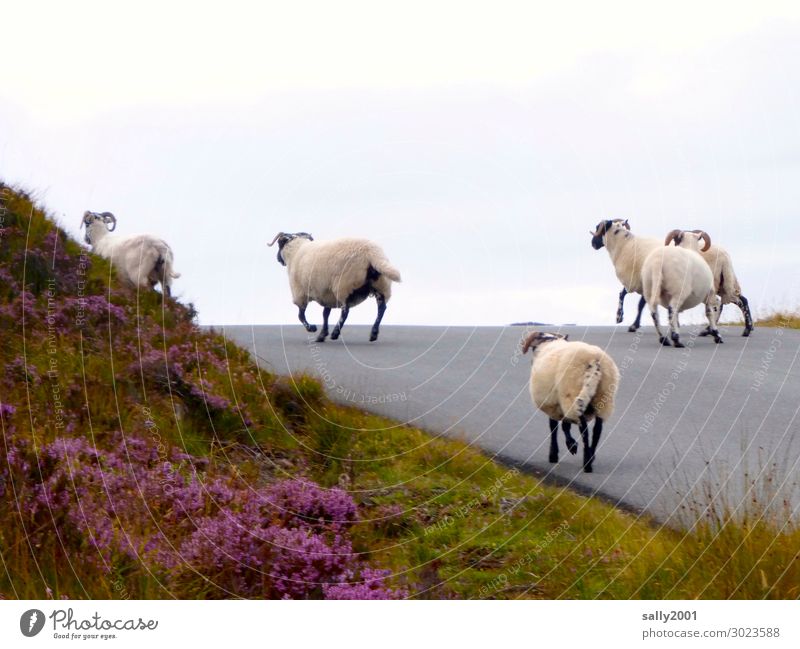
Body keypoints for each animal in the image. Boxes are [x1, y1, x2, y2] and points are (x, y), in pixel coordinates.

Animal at [268, 233, 404, 344]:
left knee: (345, 311)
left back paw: (335, 333)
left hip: (344, 285)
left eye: (280, 245)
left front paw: (312, 328)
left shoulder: (300, 293)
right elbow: (325, 314)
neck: (295, 251)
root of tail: (372, 253)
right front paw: (322, 335)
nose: (277, 258)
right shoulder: (326, 293)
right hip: (381, 285)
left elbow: (301, 316)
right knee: (382, 308)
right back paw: (373, 333)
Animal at [520, 332, 620, 474]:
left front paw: (557, 453)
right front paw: (570, 446)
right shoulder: (558, 403)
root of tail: (593, 360)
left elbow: (556, 427)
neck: (549, 342)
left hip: (571, 394)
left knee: (584, 429)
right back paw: (591, 456)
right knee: (597, 430)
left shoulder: (553, 403)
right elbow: (563, 426)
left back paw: (587, 464)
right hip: (604, 398)